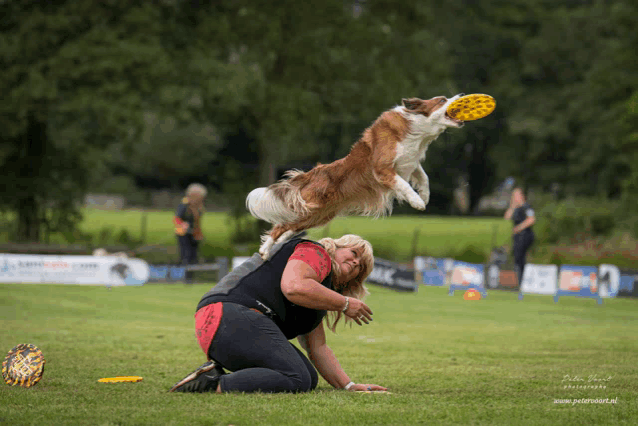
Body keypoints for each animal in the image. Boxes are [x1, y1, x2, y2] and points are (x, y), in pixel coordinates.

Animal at [249, 95, 464, 258]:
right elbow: (404, 184)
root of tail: (313, 173)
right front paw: (417, 201)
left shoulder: (410, 162)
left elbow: (423, 176)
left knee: (289, 228)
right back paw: (265, 250)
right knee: (281, 225)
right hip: (310, 209)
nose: (461, 96)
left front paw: (425, 195)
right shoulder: (383, 169)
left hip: (318, 215)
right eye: (442, 99)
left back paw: (275, 244)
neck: (418, 132)